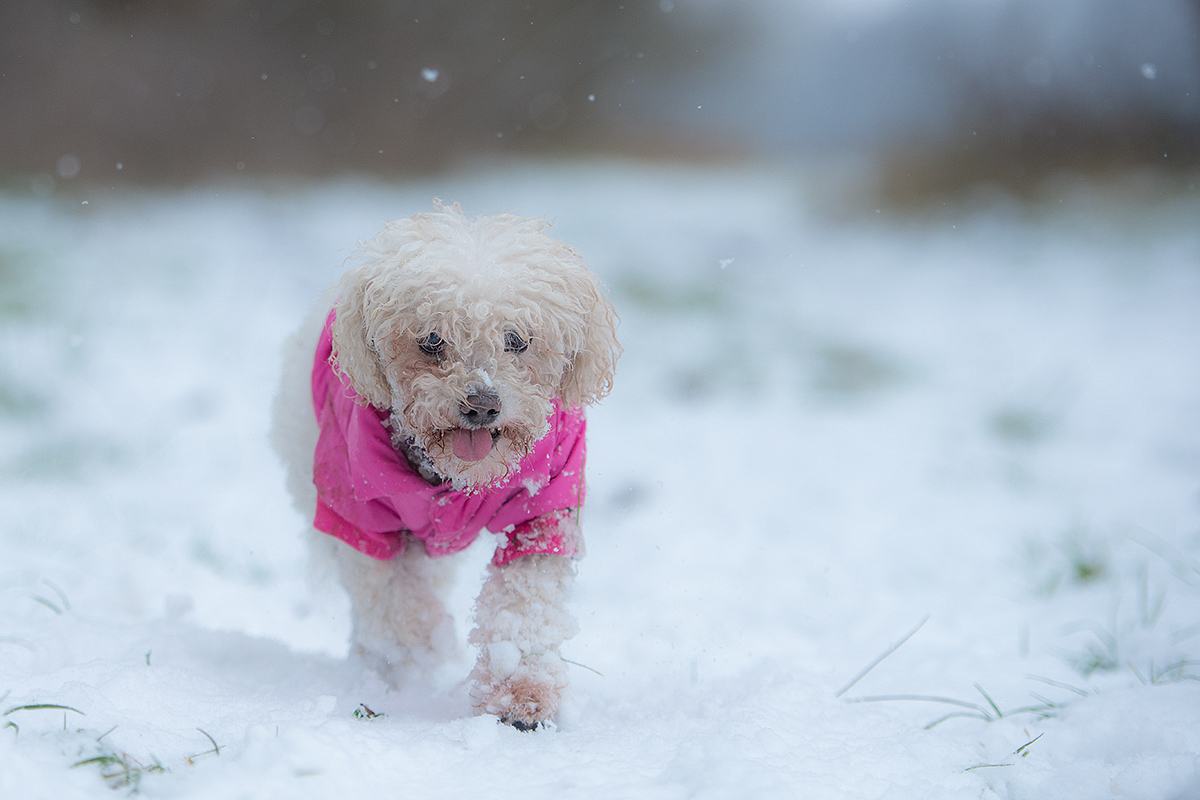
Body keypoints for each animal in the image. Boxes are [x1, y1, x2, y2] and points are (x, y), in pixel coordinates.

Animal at [273, 203, 624, 729]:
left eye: (518, 340)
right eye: (432, 340)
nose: (481, 404)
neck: (455, 478)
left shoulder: (544, 507)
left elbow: (523, 608)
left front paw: (521, 697)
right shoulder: (364, 520)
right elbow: (401, 613)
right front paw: (416, 679)